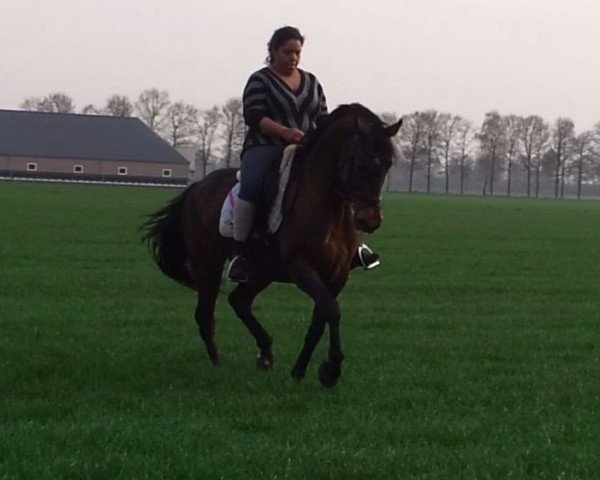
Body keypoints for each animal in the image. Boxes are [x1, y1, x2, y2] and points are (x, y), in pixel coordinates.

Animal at [142, 103, 400, 388]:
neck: (328, 207)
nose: (370, 220)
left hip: (261, 271)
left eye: (388, 164)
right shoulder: (301, 267)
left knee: (239, 301)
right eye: (361, 164)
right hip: (209, 265)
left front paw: (300, 370)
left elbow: (320, 319)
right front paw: (331, 369)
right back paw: (218, 365)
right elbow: (332, 310)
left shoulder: (337, 274)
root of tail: (197, 187)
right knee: (205, 314)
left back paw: (265, 352)